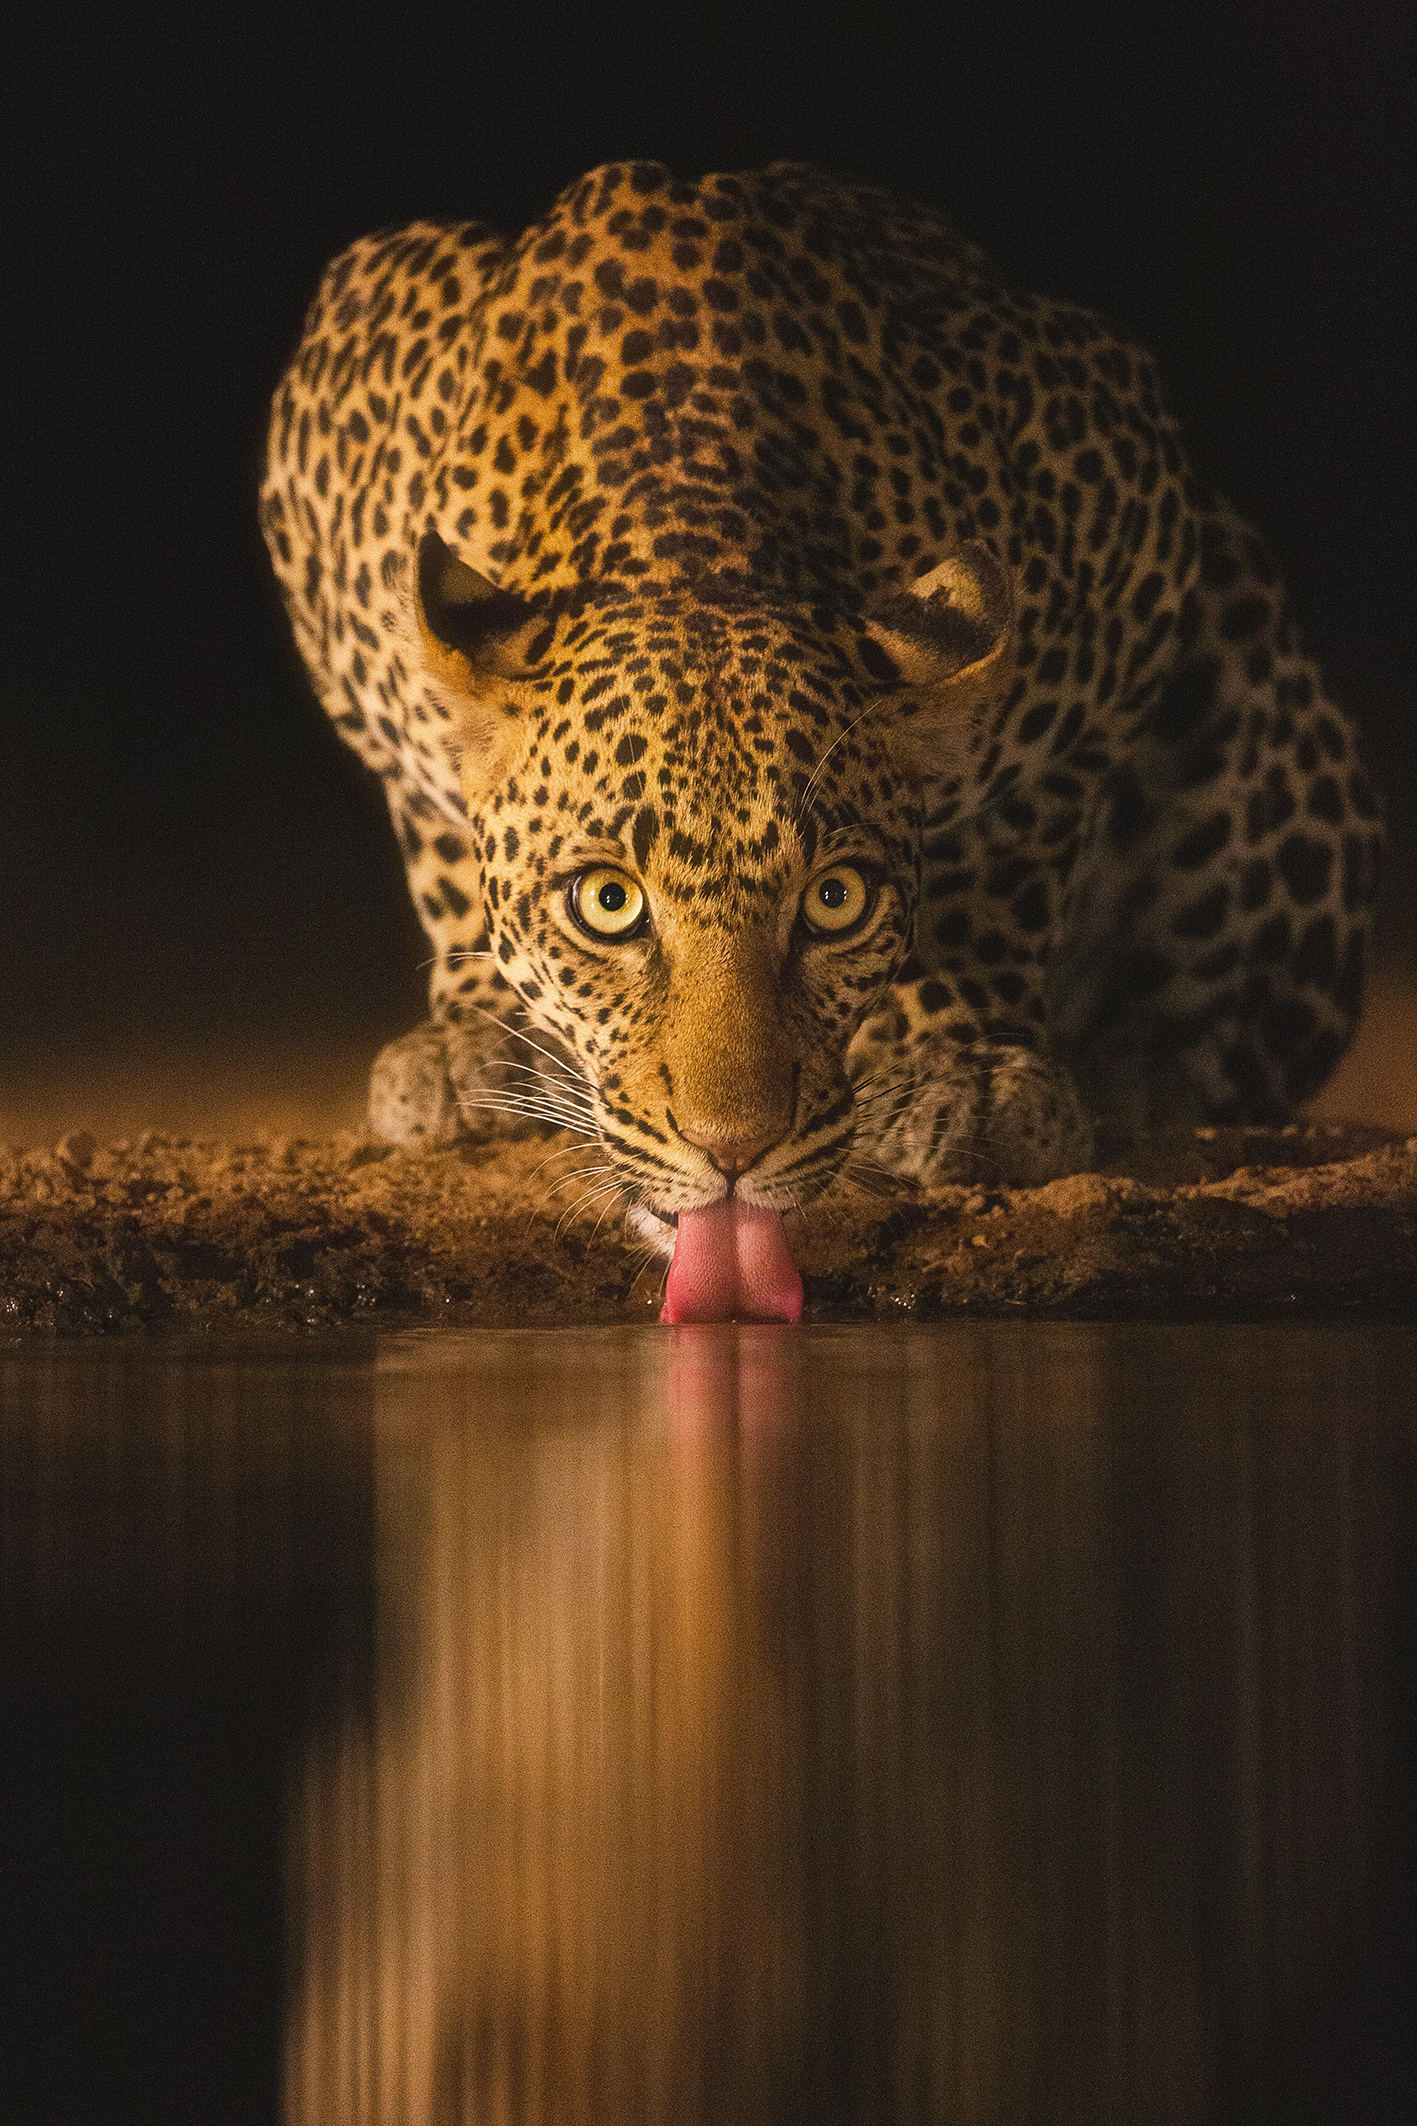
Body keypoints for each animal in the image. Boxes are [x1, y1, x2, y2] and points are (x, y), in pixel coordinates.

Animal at [260, 160, 1383, 1320]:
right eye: (606, 903)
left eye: (835, 901)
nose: (732, 1151)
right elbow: (442, 827)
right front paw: (479, 1032)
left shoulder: (1123, 494)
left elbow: (1008, 854)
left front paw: (966, 1067)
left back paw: (1143, 1069)